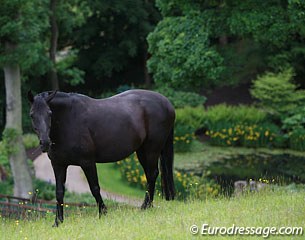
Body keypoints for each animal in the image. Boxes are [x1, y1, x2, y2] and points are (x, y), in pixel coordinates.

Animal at [28, 90, 176, 227]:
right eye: (32, 115)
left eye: (50, 113)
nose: (45, 143)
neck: (68, 120)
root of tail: (167, 103)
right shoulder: (58, 165)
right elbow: (59, 192)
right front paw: (58, 222)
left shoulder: (87, 163)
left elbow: (94, 188)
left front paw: (103, 213)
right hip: (142, 151)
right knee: (150, 175)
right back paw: (147, 206)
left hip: (152, 149)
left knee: (152, 174)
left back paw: (145, 207)